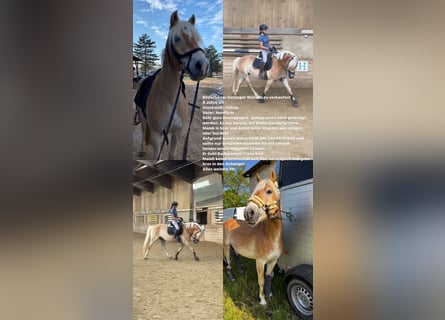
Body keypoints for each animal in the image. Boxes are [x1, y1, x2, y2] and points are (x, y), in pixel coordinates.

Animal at [136, 10, 209, 160]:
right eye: (177, 39)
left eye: (197, 39)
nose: (203, 66)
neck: (169, 97)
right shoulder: (156, 135)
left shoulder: (177, 133)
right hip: (142, 117)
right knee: (143, 131)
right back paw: (141, 150)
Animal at [221, 168, 280, 304]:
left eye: (269, 191)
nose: (248, 213)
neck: (271, 235)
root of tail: (227, 221)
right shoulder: (260, 262)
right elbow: (261, 281)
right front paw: (262, 300)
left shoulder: (273, 261)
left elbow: (268, 278)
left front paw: (269, 294)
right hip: (226, 246)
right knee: (228, 260)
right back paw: (231, 277)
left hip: (235, 246)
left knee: (236, 256)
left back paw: (240, 270)